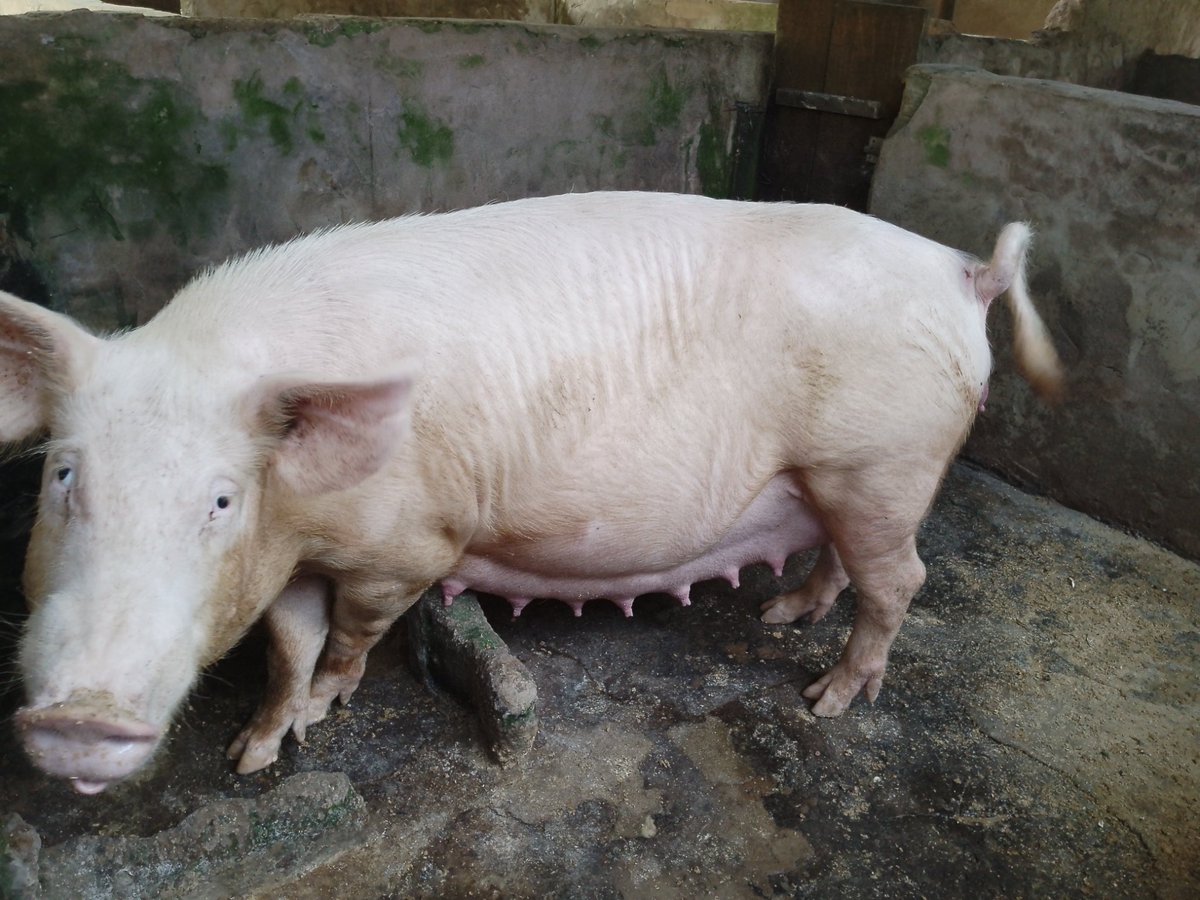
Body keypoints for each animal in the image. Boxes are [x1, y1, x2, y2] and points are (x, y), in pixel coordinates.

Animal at [0, 192, 1063, 794]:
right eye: (62, 475)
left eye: (220, 500)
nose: (77, 717)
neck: (302, 516)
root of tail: (963, 270)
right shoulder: (301, 552)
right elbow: (286, 644)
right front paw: (255, 755)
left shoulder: (409, 546)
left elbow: (347, 636)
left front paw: (324, 709)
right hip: (844, 481)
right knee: (844, 561)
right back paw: (780, 616)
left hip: (880, 463)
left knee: (903, 580)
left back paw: (827, 700)